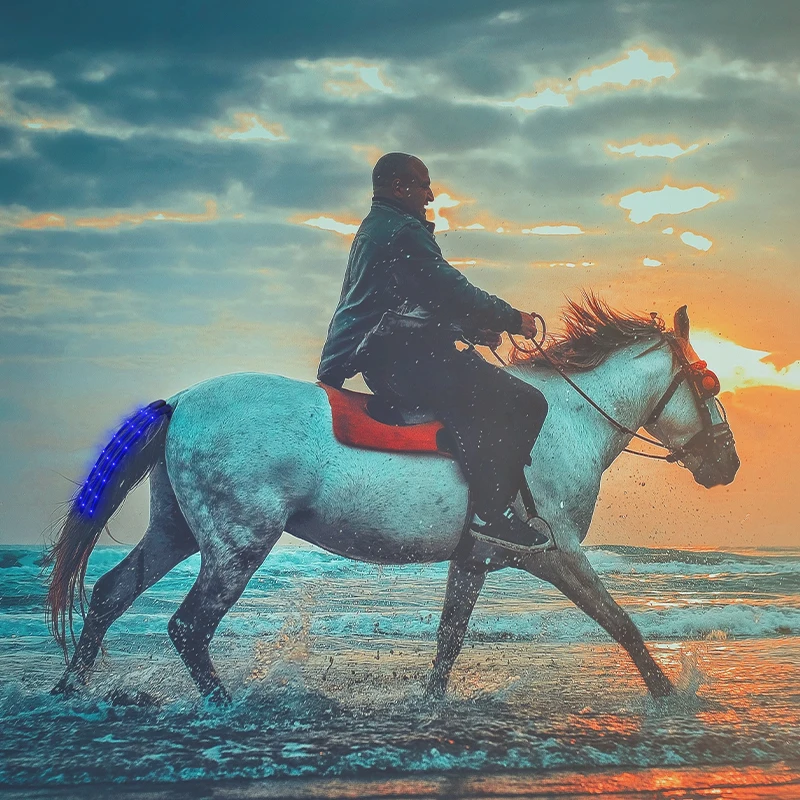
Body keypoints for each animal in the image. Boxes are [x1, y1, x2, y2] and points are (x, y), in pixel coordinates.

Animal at [45, 298, 740, 703]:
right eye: (709, 383)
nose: (727, 465)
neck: (568, 422)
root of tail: (183, 401)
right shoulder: (554, 551)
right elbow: (621, 623)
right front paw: (668, 694)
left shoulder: (474, 557)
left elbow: (449, 639)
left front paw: (429, 706)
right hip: (238, 544)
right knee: (189, 626)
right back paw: (222, 705)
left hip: (178, 531)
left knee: (109, 594)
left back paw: (68, 690)